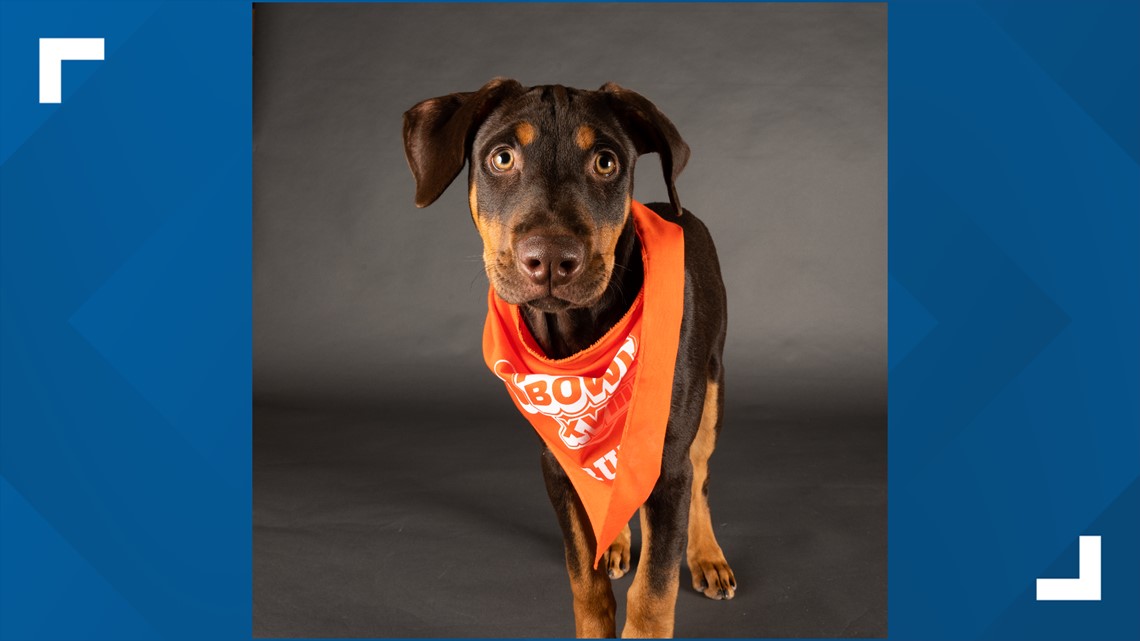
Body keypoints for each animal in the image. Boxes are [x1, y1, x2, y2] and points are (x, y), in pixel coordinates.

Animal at [405, 78, 734, 634]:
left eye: (605, 161)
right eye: (502, 157)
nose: (551, 258)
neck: (579, 341)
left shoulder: (667, 461)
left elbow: (654, 593)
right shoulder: (556, 462)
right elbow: (586, 580)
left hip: (711, 390)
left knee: (702, 475)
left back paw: (707, 556)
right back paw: (617, 541)